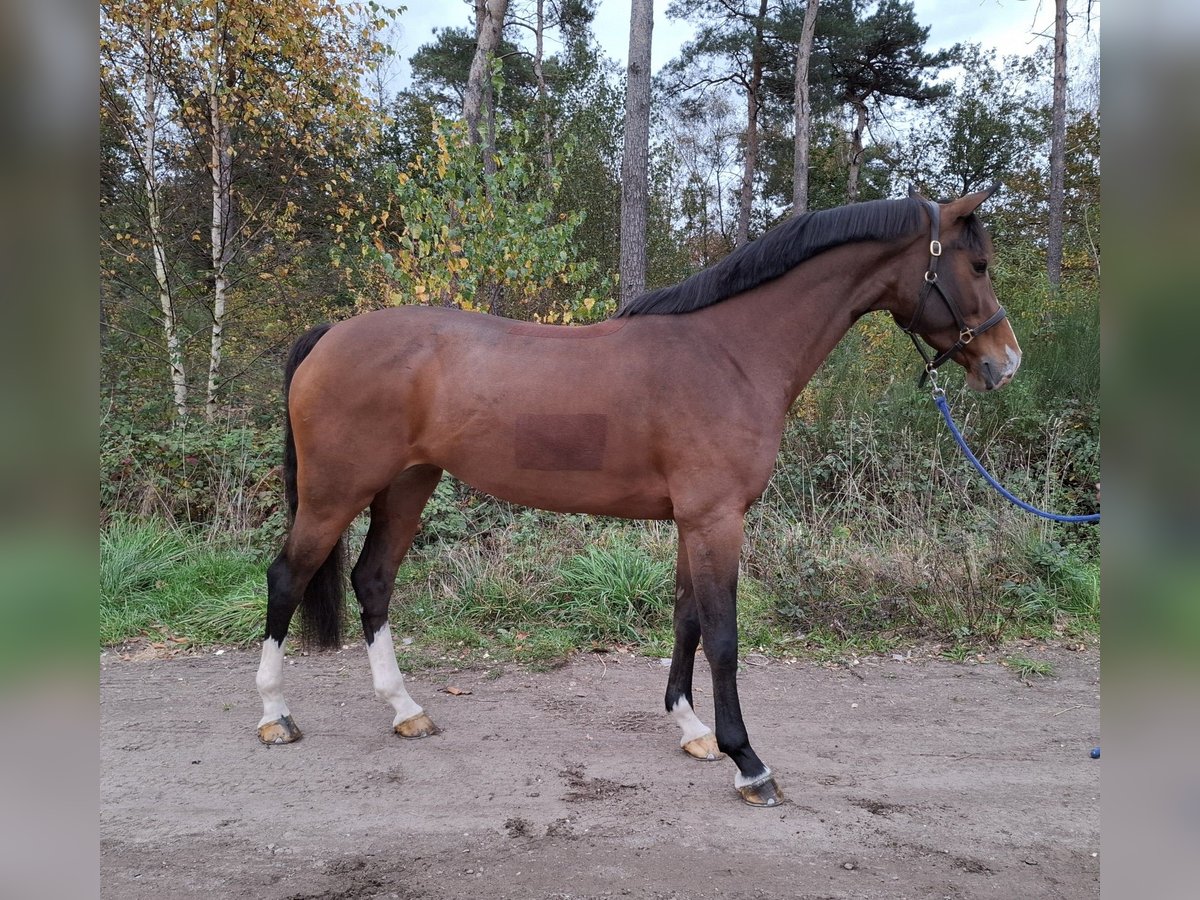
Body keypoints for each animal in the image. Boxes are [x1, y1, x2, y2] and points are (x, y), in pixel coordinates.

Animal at [255, 187, 1022, 806]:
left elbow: (685, 621)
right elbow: (723, 636)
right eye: (978, 265)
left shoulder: (695, 520)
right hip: (335, 492)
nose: (1005, 362)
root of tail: (332, 334)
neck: (731, 353)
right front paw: (749, 763)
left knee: (373, 579)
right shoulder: (716, 520)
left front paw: (692, 729)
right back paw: (275, 716)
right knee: (288, 577)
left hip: (408, 483)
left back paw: (405, 709)